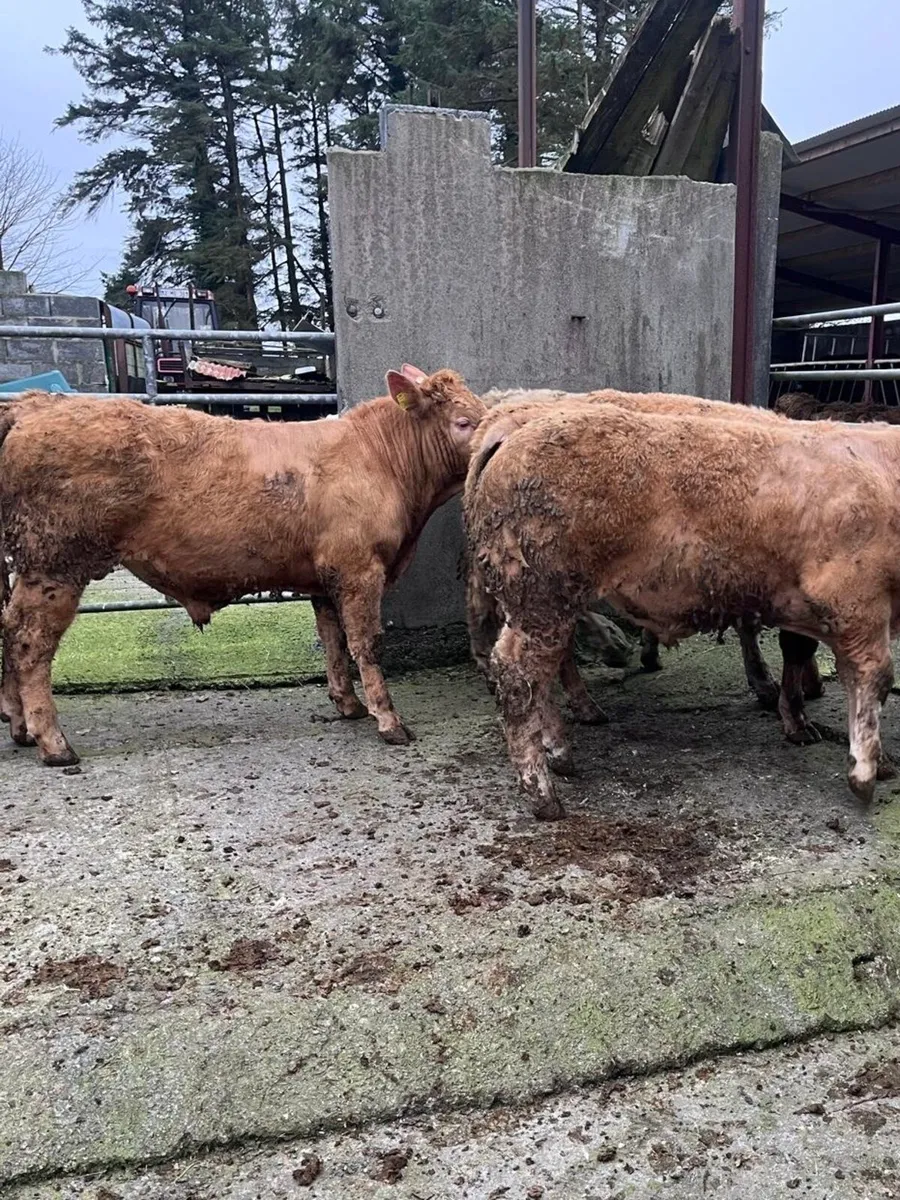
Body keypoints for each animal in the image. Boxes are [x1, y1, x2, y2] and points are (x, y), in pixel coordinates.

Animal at [0, 367, 486, 765]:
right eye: (464, 422)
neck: (380, 459)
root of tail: (36, 404)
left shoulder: (324, 578)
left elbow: (332, 641)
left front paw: (347, 704)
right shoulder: (358, 570)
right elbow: (366, 644)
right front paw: (387, 719)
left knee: (8, 627)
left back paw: (19, 726)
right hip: (56, 561)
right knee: (30, 639)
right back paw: (52, 742)